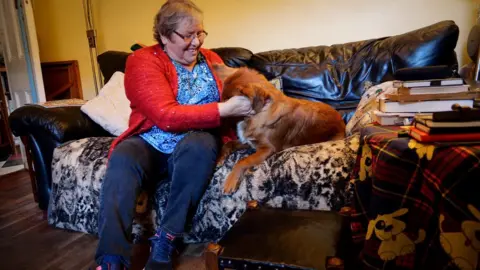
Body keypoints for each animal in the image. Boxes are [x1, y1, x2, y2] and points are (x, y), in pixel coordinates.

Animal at [214, 64, 344, 193]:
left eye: (228, 100)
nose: (219, 116)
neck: (259, 113)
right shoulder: (250, 142)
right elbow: (229, 143)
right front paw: (219, 158)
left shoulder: (268, 149)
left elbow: (244, 160)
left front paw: (231, 180)